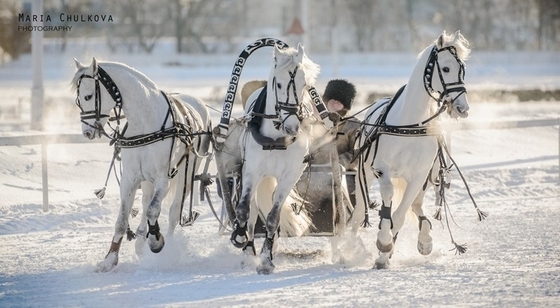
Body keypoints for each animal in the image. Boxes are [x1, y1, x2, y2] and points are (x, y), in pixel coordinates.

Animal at [72, 58, 212, 272]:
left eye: (88, 96)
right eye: (78, 101)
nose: (87, 132)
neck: (146, 123)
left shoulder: (164, 179)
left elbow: (154, 210)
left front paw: (156, 241)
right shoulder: (130, 179)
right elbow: (123, 219)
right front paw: (110, 259)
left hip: (186, 175)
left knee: (173, 211)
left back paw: (167, 246)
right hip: (147, 181)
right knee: (146, 202)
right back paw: (139, 241)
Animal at [228, 43, 322, 274]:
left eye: (304, 84)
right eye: (278, 84)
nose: (293, 127)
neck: (276, 138)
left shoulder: (289, 177)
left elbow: (273, 217)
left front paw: (266, 260)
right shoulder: (252, 172)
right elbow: (243, 211)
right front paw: (241, 240)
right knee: (252, 212)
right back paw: (247, 250)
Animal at [354, 30, 472, 268]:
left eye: (462, 69)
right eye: (446, 68)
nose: (462, 108)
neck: (410, 125)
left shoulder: (419, 175)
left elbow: (400, 214)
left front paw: (385, 251)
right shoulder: (381, 169)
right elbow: (387, 196)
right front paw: (384, 240)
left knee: (416, 205)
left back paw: (422, 239)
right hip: (364, 175)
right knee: (359, 211)